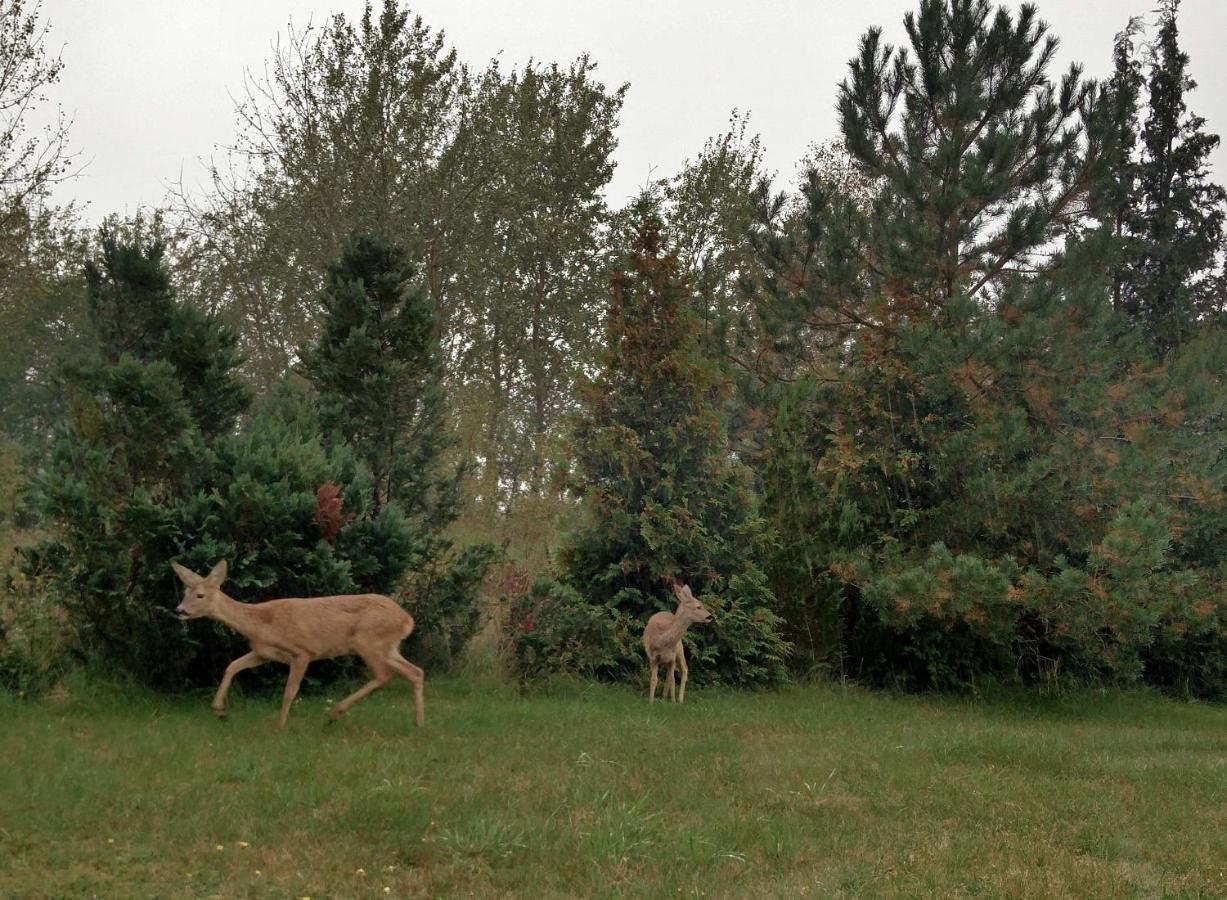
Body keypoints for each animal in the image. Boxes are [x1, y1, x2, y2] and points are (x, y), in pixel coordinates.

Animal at [170, 557, 424, 726]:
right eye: (184, 593)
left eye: (200, 595)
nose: (180, 610)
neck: (260, 624)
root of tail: (407, 619)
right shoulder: (262, 652)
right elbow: (232, 666)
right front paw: (219, 710)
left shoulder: (303, 651)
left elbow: (290, 690)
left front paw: (280, 726)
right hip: (388, 646)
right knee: (414, 671)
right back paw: (419, 723)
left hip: (367, 639)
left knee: (383, 674)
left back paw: (334, 713)